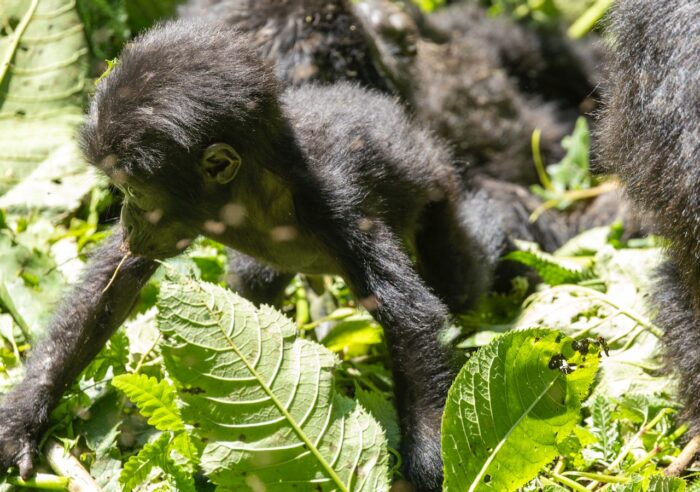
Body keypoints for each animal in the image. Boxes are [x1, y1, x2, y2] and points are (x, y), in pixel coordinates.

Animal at [0, 20, 560, 491]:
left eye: (134, 191)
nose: (128, 221)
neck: (255, 190)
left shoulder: (336, 206)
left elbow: (412, 318)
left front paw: (428, 468)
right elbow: (108, 289)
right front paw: (20, 425)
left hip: (439, 195)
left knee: (460, 280)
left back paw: (498, 222)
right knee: (254, 280)